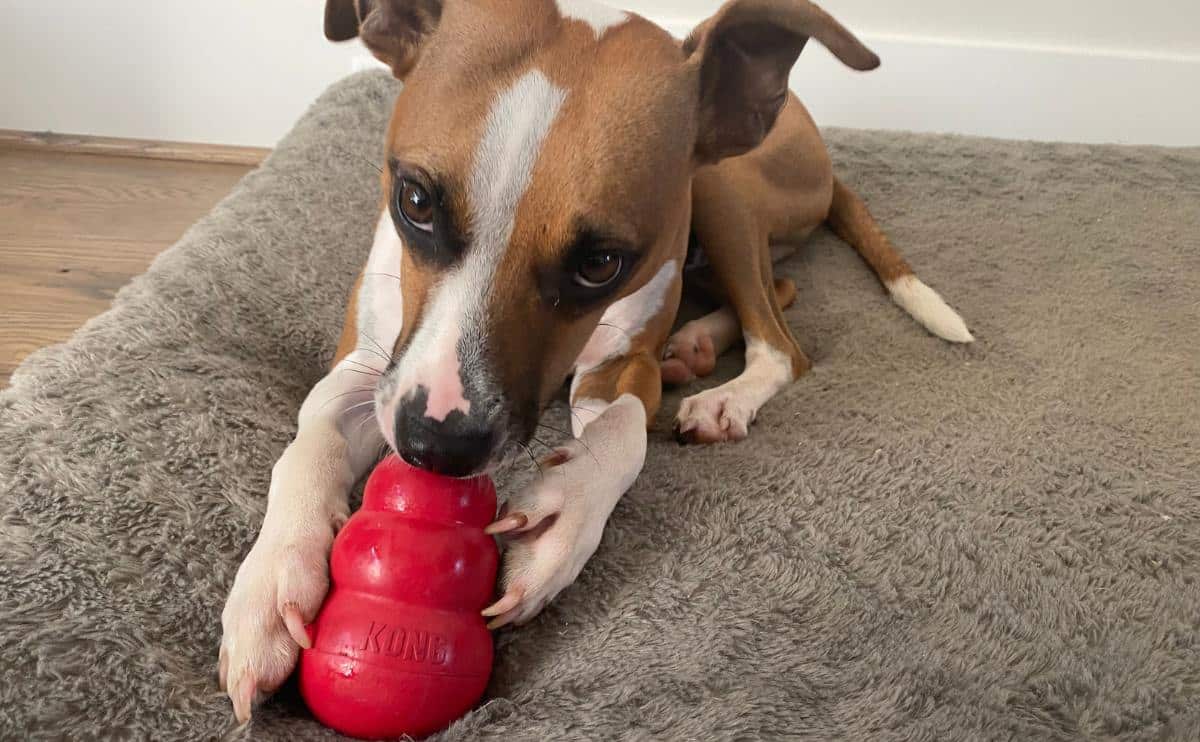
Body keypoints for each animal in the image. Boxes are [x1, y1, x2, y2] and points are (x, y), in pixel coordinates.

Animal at [218, 0, 974, 720]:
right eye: (415, 201)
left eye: (602, 263)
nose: (439, 446)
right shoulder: (366, 372)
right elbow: (309, 440)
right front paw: (272, 579)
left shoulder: (620, 367)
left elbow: (625, 431)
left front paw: (562, 518)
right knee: (776, 294)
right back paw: (696, 345)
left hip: (723, 189)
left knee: (783, 340)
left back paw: (722, 393)